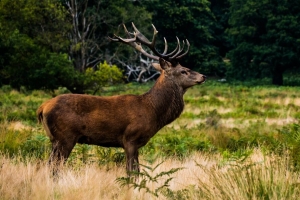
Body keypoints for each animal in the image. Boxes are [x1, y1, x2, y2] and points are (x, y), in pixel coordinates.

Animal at [36, 22, 205, 174]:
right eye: (183, 71)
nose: (203, 76)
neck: (153, 110)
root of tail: (42, 108)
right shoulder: (130, 139)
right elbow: (132, 172)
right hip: (65, 137)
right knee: (54, 167)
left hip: (55, 139)